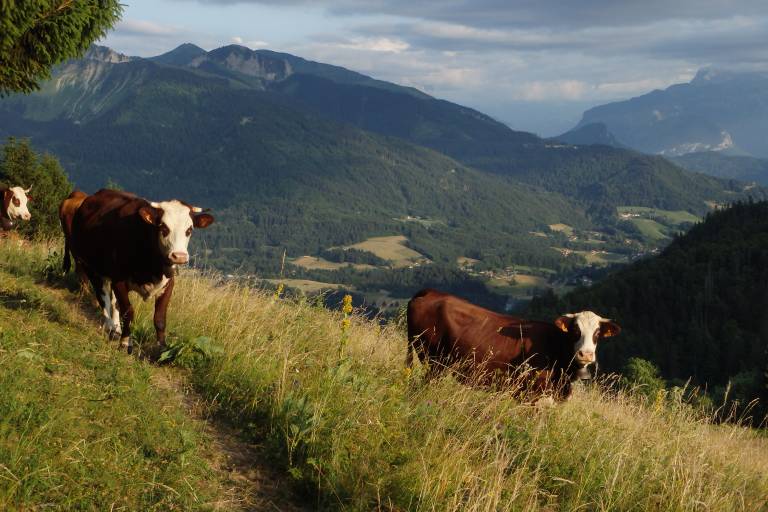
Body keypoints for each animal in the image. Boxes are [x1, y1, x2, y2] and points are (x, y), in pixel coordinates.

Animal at [70, 190, 213, 354]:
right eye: (164, 228)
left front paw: (161, 348)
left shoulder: (168, 284)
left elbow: (160, 318)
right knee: (103, 297)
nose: (179, 256)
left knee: (114, 302)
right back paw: (110, 326)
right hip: (89, 266)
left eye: (189, 230)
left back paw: (117, 328)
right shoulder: (119, 280)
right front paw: (125, 343)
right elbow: (128, 312)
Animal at [404, 290, 620, 398]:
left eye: (598, 334)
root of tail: (431, 292)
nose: (586, 354)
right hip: (433, 361)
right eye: (575, 330)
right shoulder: (528, 394)